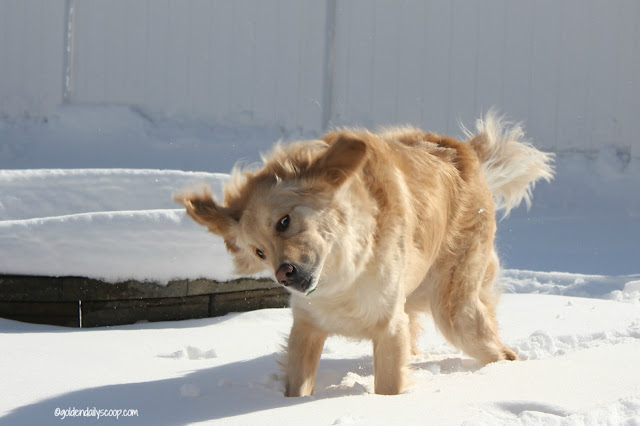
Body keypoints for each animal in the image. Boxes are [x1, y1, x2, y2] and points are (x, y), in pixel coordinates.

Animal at [178, 110, 552, 396]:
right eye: (258, 251)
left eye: (284, 221)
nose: (283, 274)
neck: (346, 270)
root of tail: (464, 151)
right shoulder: (307, 328)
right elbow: (297, 387)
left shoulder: (389, 328)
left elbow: (388, 387)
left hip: (455, 310)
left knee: (501, 351)